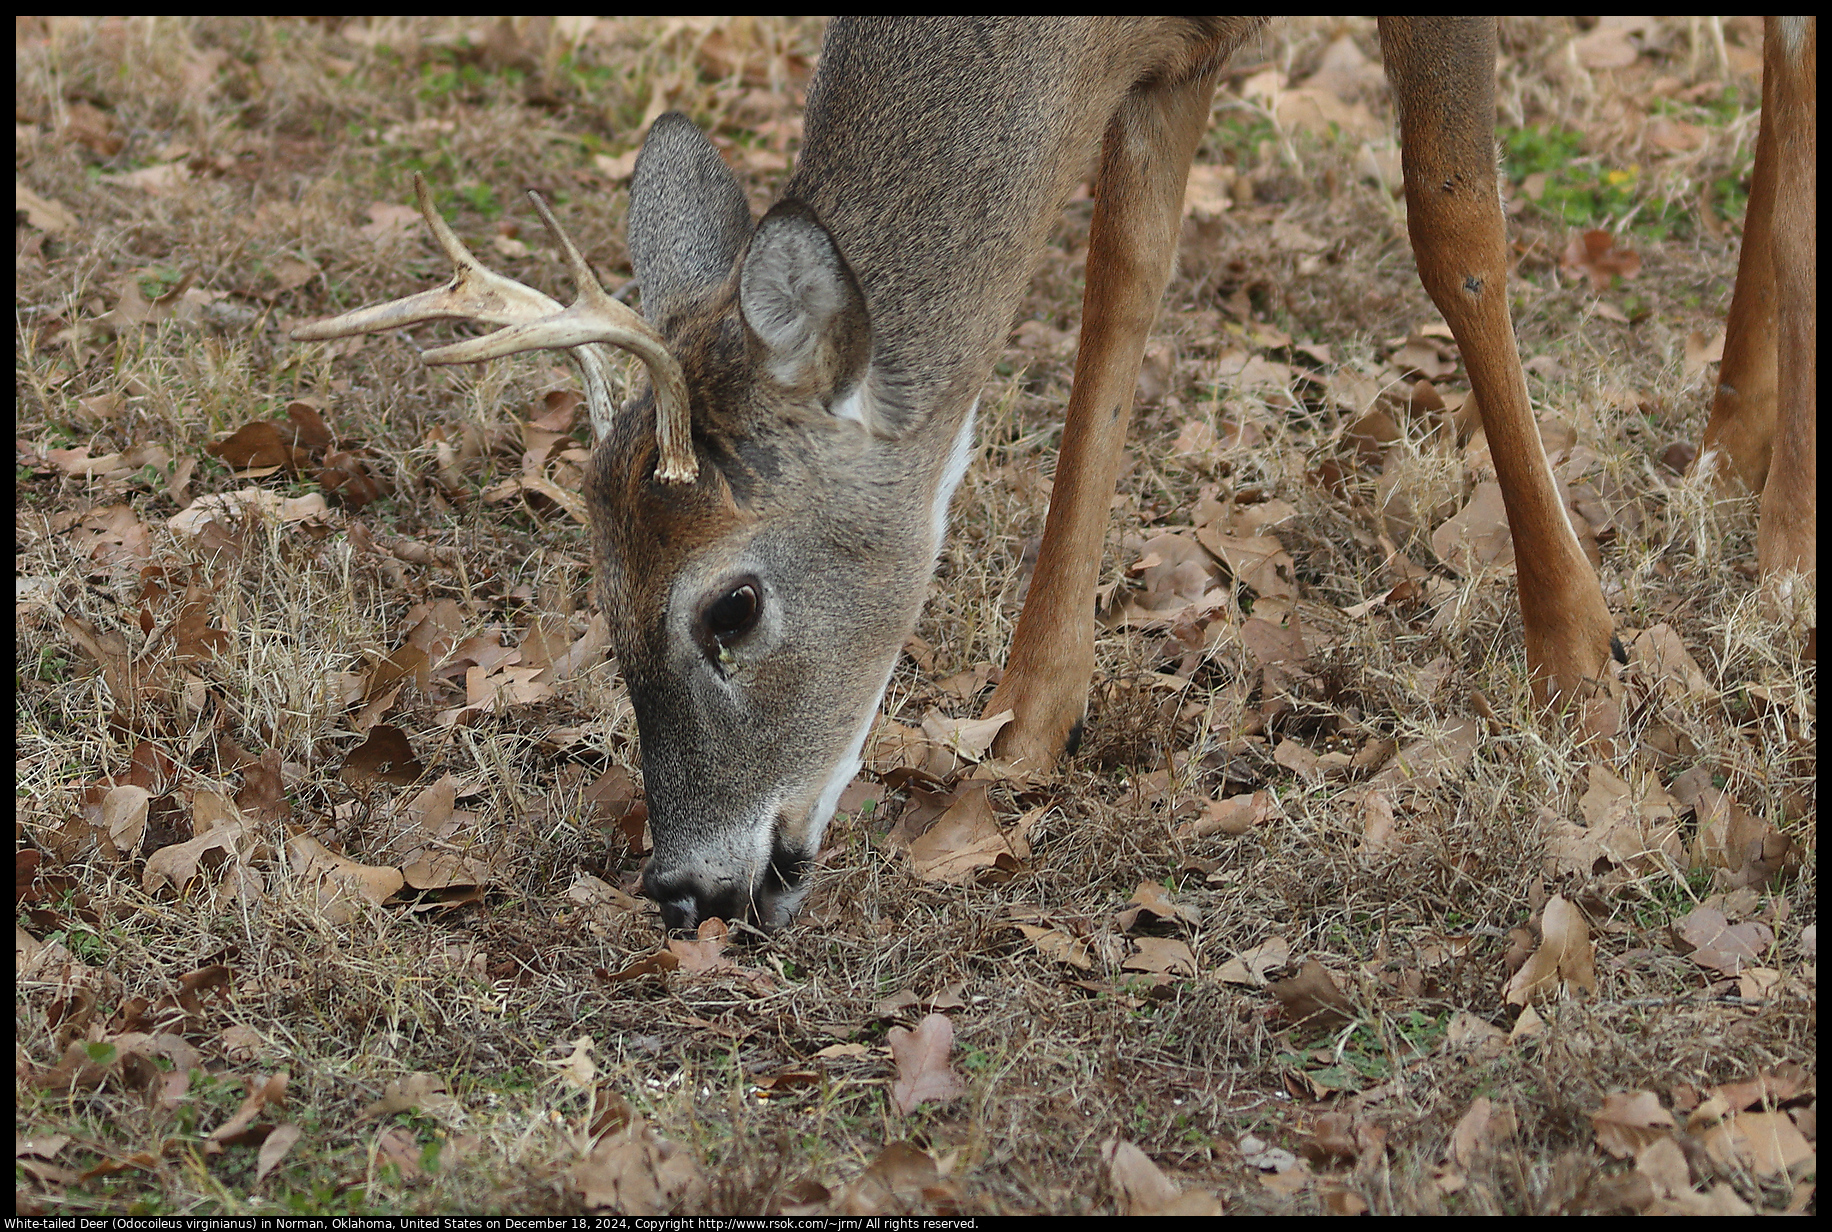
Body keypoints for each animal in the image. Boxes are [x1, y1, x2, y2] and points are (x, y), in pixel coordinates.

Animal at [293, 19, 1810, 927]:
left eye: (731, 603)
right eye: (598, 589)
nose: (685, 884)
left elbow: (1457, 229)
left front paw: (1578, 663)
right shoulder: (1169, 50)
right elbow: (1122, 279)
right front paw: (1028, 713)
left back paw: (1780, 539)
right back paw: (1729, 442)